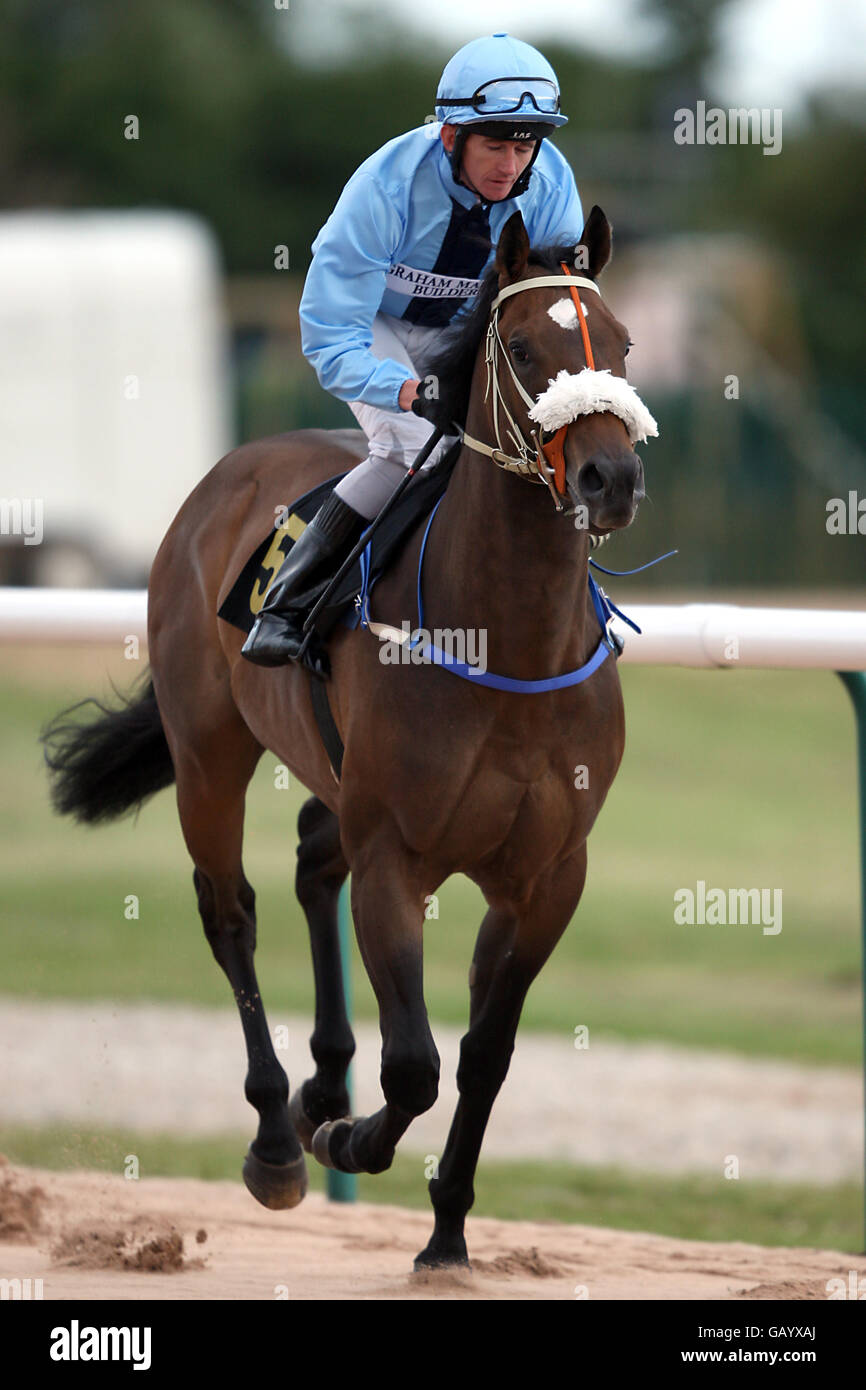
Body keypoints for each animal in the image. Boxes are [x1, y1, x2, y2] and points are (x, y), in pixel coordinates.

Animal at [40, 205, 650, 1273]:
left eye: (618, 345)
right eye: (523, 351)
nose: (610, 476)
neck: (510, 645)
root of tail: (228, 472)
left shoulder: (547, 876)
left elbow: (486, 1056)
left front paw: (446, 1231)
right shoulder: (395, 855)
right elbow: (415, 1064)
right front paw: (350, 1141)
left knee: (311, 862)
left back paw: (323, 1087)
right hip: (209, 752)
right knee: (231, 912)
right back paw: (282, 1136)